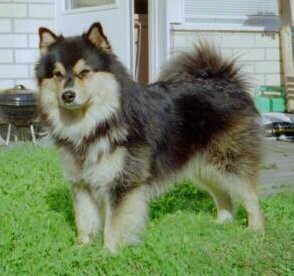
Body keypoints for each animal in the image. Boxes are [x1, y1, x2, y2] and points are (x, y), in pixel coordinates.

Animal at [36, 23, 264, 252]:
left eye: (84, 72)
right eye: (57, 74)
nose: (67, 95)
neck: (97, 123)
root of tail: (225, 81)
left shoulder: (123, 182)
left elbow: (113, 225)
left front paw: (109, 252)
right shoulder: (81, 183)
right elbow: (84, 220)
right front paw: (81, 248)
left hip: (228, 161)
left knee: (250, 194)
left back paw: (255, 229)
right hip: (205, 166)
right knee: (224, 195)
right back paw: (222, 223)